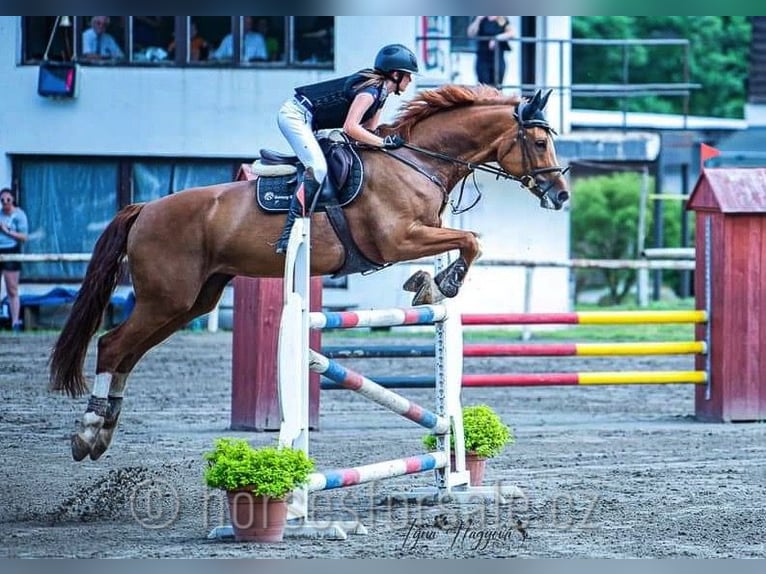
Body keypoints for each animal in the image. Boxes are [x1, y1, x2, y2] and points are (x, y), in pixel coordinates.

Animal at [49, 85, 568, 464]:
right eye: (541, 142)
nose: (560, 195)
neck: (418, 161)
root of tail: (145, 208)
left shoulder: (421, 233)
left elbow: (466, 240)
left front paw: (426, 284)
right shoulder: (398, 240)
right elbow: (471, 240)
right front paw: (442, 283)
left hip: (191, 302)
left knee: (128, 353)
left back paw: (101, 433)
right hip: (167, 299)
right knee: (112, 345)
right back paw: (88, 433)